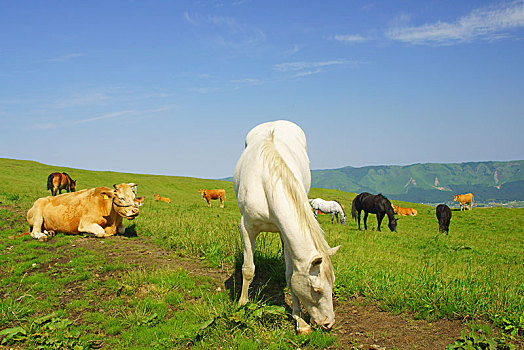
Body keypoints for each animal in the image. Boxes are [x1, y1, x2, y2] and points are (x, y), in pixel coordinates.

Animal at [233, 120, 340, 334]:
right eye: (316, 289)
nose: (328, 323)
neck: (266, 184)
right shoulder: (247, 227)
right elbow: (248, 268)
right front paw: (242, 305)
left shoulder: (286, 234)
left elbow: (291, 275)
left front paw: (299, 320)